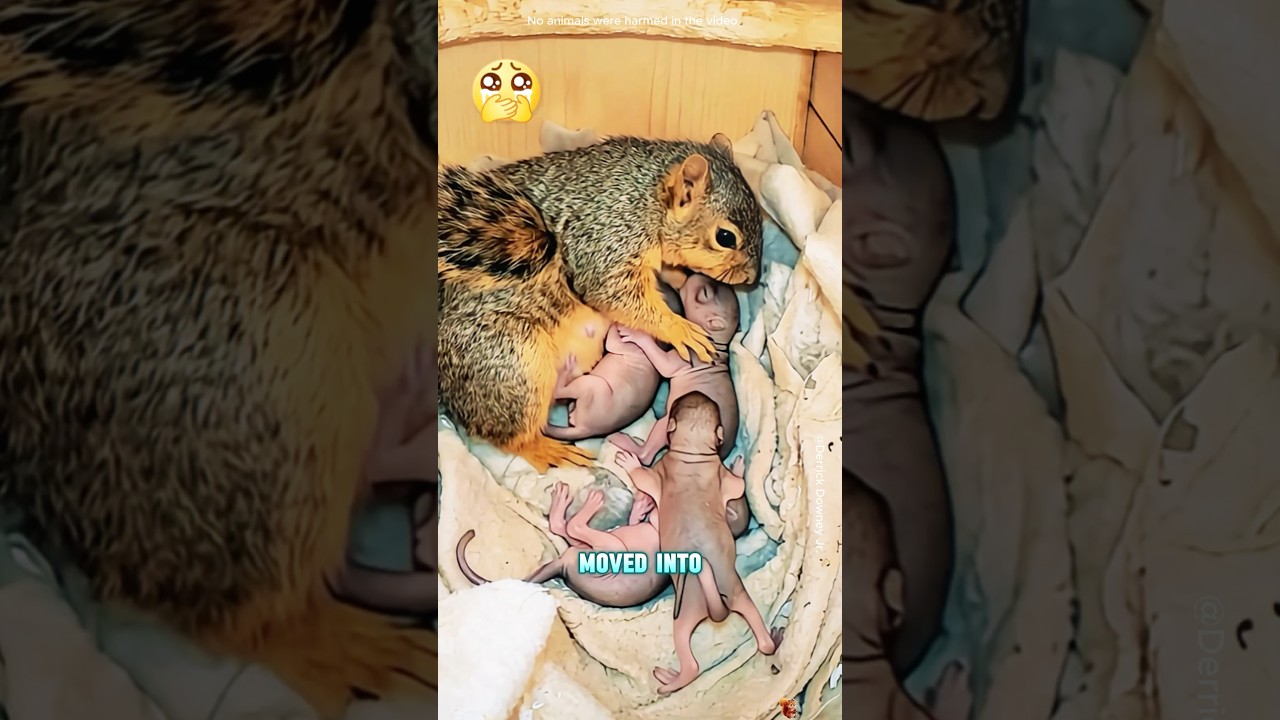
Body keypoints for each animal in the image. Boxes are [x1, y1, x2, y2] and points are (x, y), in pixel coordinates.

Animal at [438, 135, 763, 471]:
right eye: (725, 237)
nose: (753, 277)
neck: (650, 198)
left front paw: (681, 280)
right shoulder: (608, 239)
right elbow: (615, 293)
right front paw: (681, 329)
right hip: (513, 364)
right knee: (508, 434)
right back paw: (549, 451)